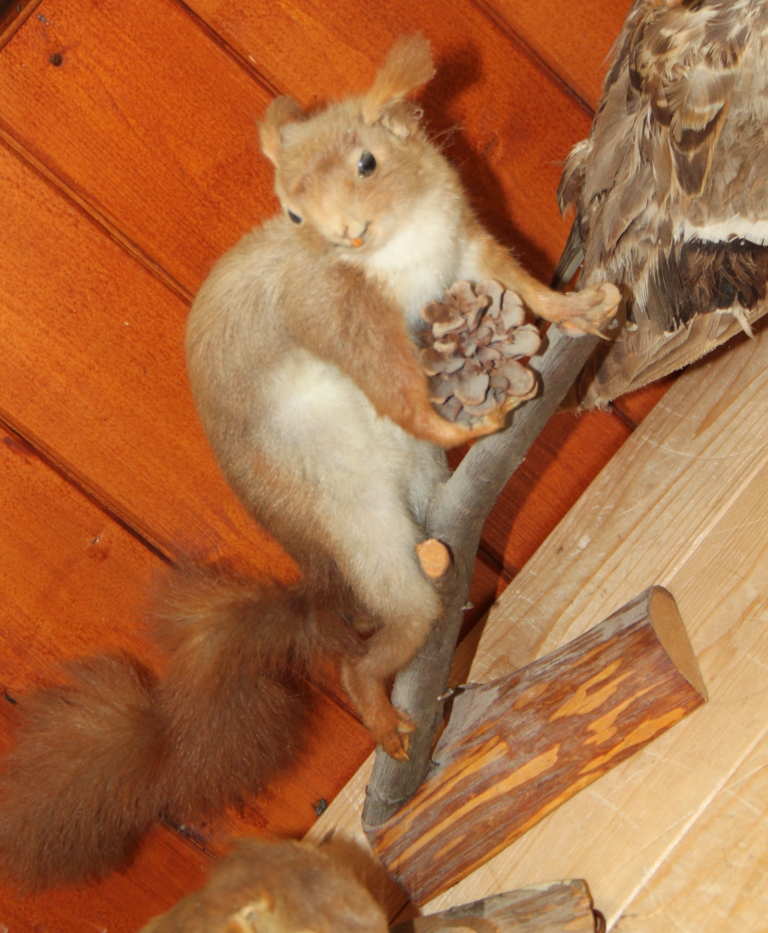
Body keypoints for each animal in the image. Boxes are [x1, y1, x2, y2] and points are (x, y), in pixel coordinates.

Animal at [0, 36, 616, 892]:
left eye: (368, 160)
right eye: (291, 212)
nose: (344, 235)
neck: (402, 244)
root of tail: (323, 573)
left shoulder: (466, 244)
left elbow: (519, 279)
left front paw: (580, 308)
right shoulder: (334, 309)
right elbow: (390, 383)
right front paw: (458, 418)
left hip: (412, 501)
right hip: (354, 526)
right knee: (377, 646)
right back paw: (384, 712)